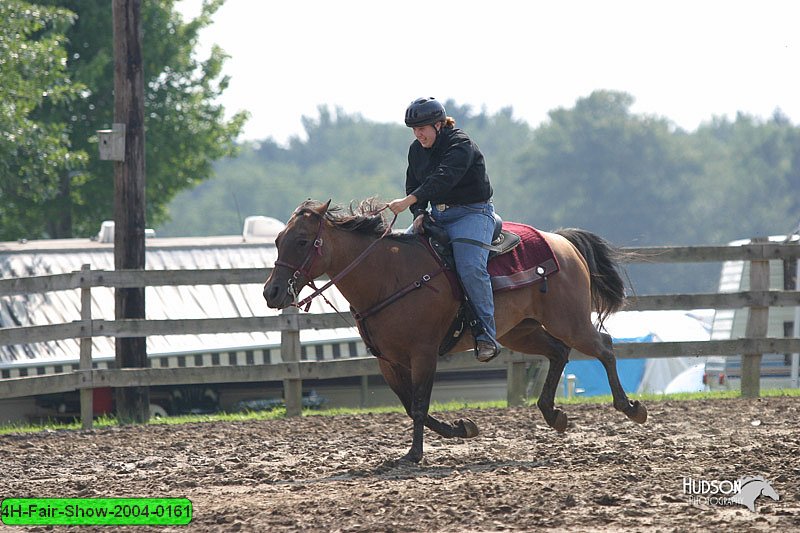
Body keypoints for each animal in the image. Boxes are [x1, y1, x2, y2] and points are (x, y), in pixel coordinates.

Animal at [266, 198, 648, 462]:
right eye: (278, 240)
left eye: (303, 241)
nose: (272, 292)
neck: (389, 276)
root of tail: (561, 241)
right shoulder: (388, 362)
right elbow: (410, 405)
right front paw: (462, 428)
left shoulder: (423, 354)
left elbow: (420, 403)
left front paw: (414, 454)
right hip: (520, 331)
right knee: (559, 353)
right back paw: (554, 415)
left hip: (570, 322)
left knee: (605, 346)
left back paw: (630, 407)